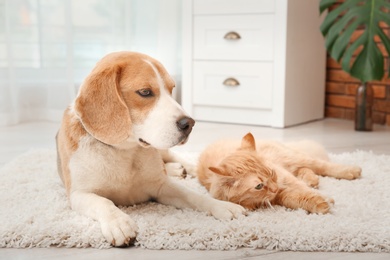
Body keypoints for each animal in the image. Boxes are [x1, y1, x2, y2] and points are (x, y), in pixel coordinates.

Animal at [56, 51, 245, 248]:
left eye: (171, 89)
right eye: (145, 92)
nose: (189, 123)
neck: (125, 151)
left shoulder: (161, 186)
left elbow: (193, 196)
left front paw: (221, 206)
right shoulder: (78, 194)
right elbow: (103, 202)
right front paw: (118, 222)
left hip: (163, 150)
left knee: (174, 157)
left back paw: (188, 168)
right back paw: (175, 170)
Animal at [197, 133, 362, 214]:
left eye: (272, 172)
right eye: (259, 186)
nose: (275, 188)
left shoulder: (284, 178)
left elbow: (303, 189)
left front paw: (325, 199)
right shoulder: (279, 197)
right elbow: (298, 198)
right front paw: (319, 204)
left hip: (293, 157)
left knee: (322, 165)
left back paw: (352, 171)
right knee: (305, 169)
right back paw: (312, 179)